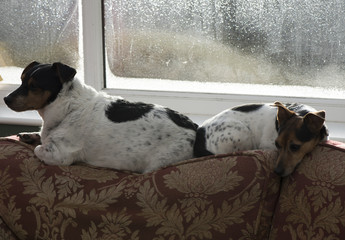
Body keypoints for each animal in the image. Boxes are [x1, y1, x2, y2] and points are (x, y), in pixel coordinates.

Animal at [2, 61, 198, 172]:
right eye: (21, 80)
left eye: (34, 86)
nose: (5, 99)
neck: (68, 107)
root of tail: (195, 128)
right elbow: (39, 137)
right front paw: (29, 135)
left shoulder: (59, 155)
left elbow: (38, 149)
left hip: (160, 161)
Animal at [194, 102, 328, 177]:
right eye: (277, 144)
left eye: (295, 147)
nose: (277, 172)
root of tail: (200, 132)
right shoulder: (267, 144)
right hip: (242, 133)